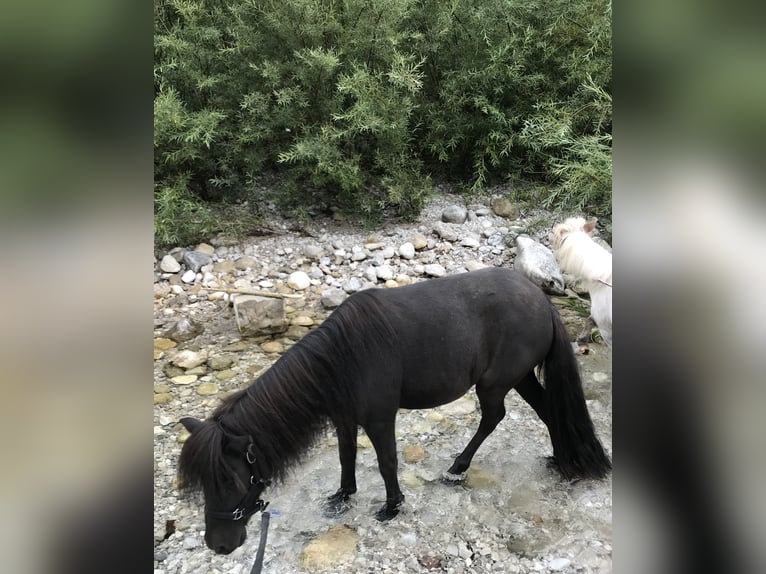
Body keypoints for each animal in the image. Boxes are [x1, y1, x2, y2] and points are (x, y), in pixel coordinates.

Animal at [178, 270, 612, 560]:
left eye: (232, 480)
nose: (218, 545)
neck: (343, 357)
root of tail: (541, 300)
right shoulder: (344, 418)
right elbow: (346, 457)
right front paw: (343, 495)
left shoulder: (379, 419)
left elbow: (387, 461)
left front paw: (392, 505)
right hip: (520, 377)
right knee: (547, 410)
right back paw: (561, 459)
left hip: (495, 384)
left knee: (494, 417)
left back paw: (459, 467)